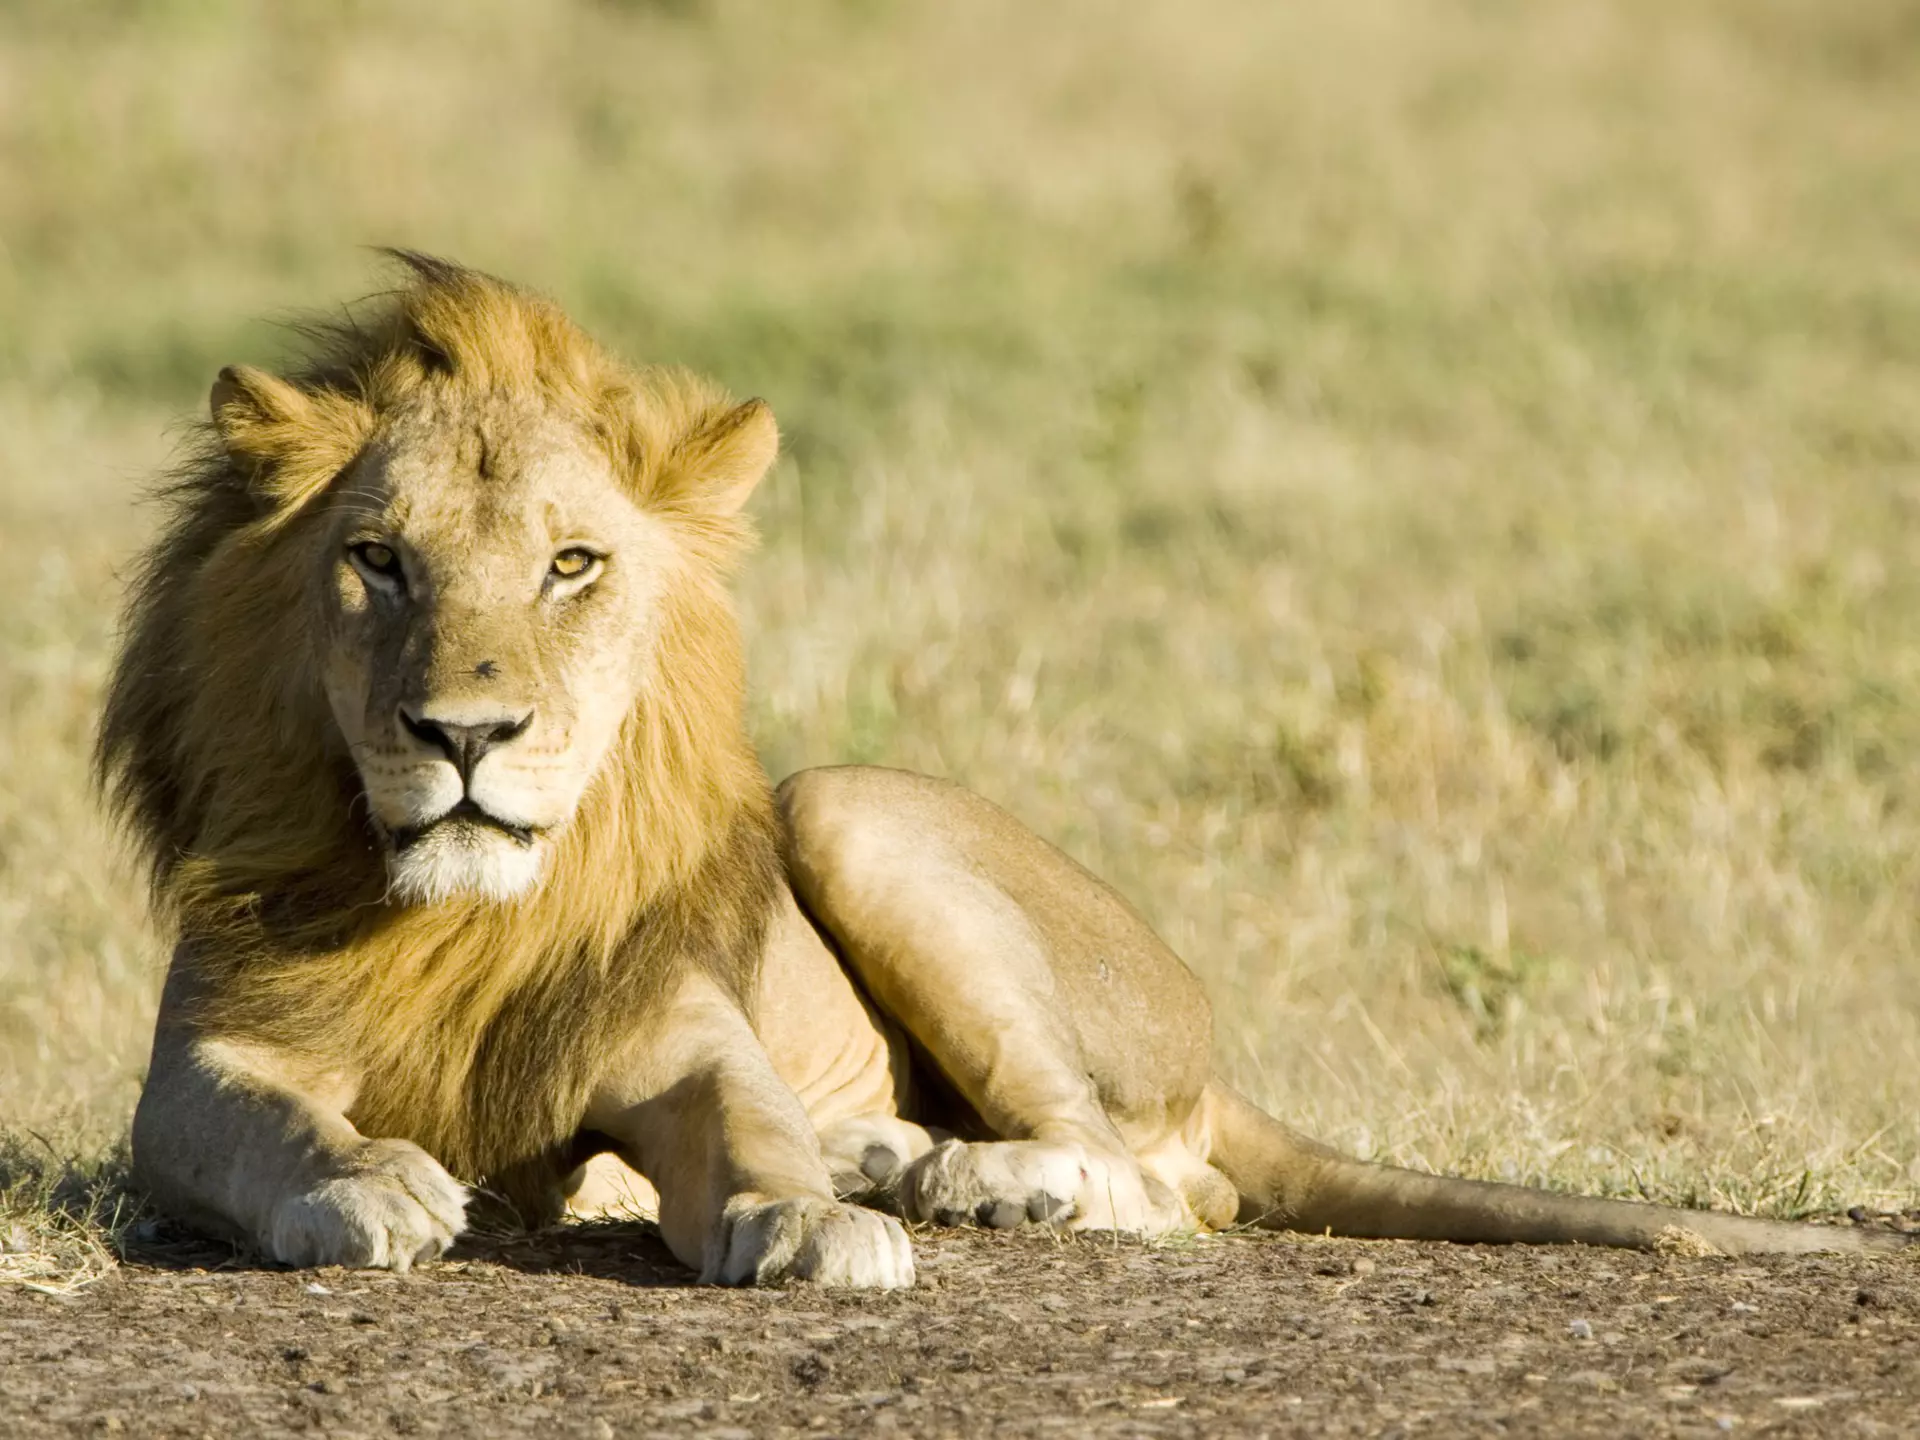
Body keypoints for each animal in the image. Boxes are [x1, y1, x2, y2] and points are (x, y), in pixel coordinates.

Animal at [98, 254, 1908, 1288]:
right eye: (379, 563)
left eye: (571, 566)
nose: (465, 739)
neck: (468, 911)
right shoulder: (195, 1070)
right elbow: (265, 1134)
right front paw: (366, 1192)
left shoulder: (689, 1035)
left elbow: (747, 1132)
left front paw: (810, 1221)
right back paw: (905, 1160)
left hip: (849, 809)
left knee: (1153, 1182)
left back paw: (960, 1184)